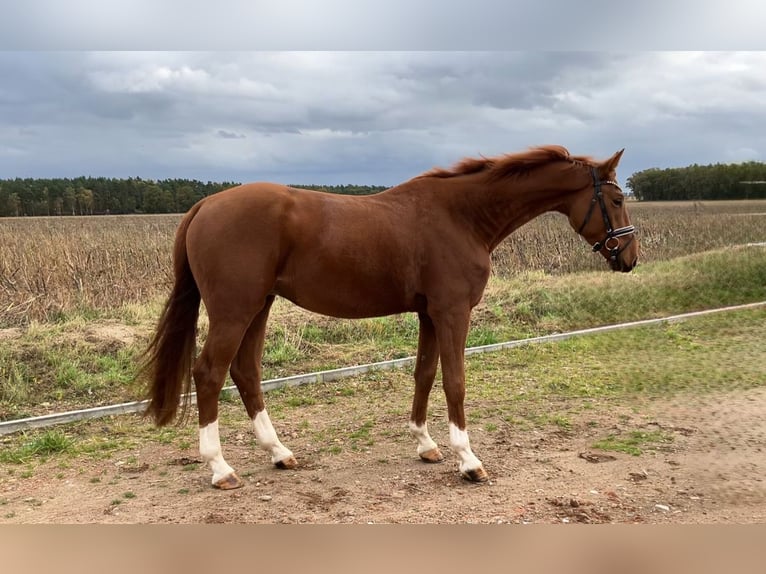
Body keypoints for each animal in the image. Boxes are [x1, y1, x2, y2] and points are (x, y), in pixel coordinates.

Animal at [141, 145, 638, 489]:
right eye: (615, 199)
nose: (630, 258)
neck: (461, 217)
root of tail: (205, 205)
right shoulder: (452, 312)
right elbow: (455, 382)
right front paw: (468, 460)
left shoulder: (429, 314)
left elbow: (425, 374)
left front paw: (426, 445)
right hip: (234, 310)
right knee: (209, 373)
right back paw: (220, 468)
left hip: (258, 306)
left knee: (245, 371)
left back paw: (279, 452)